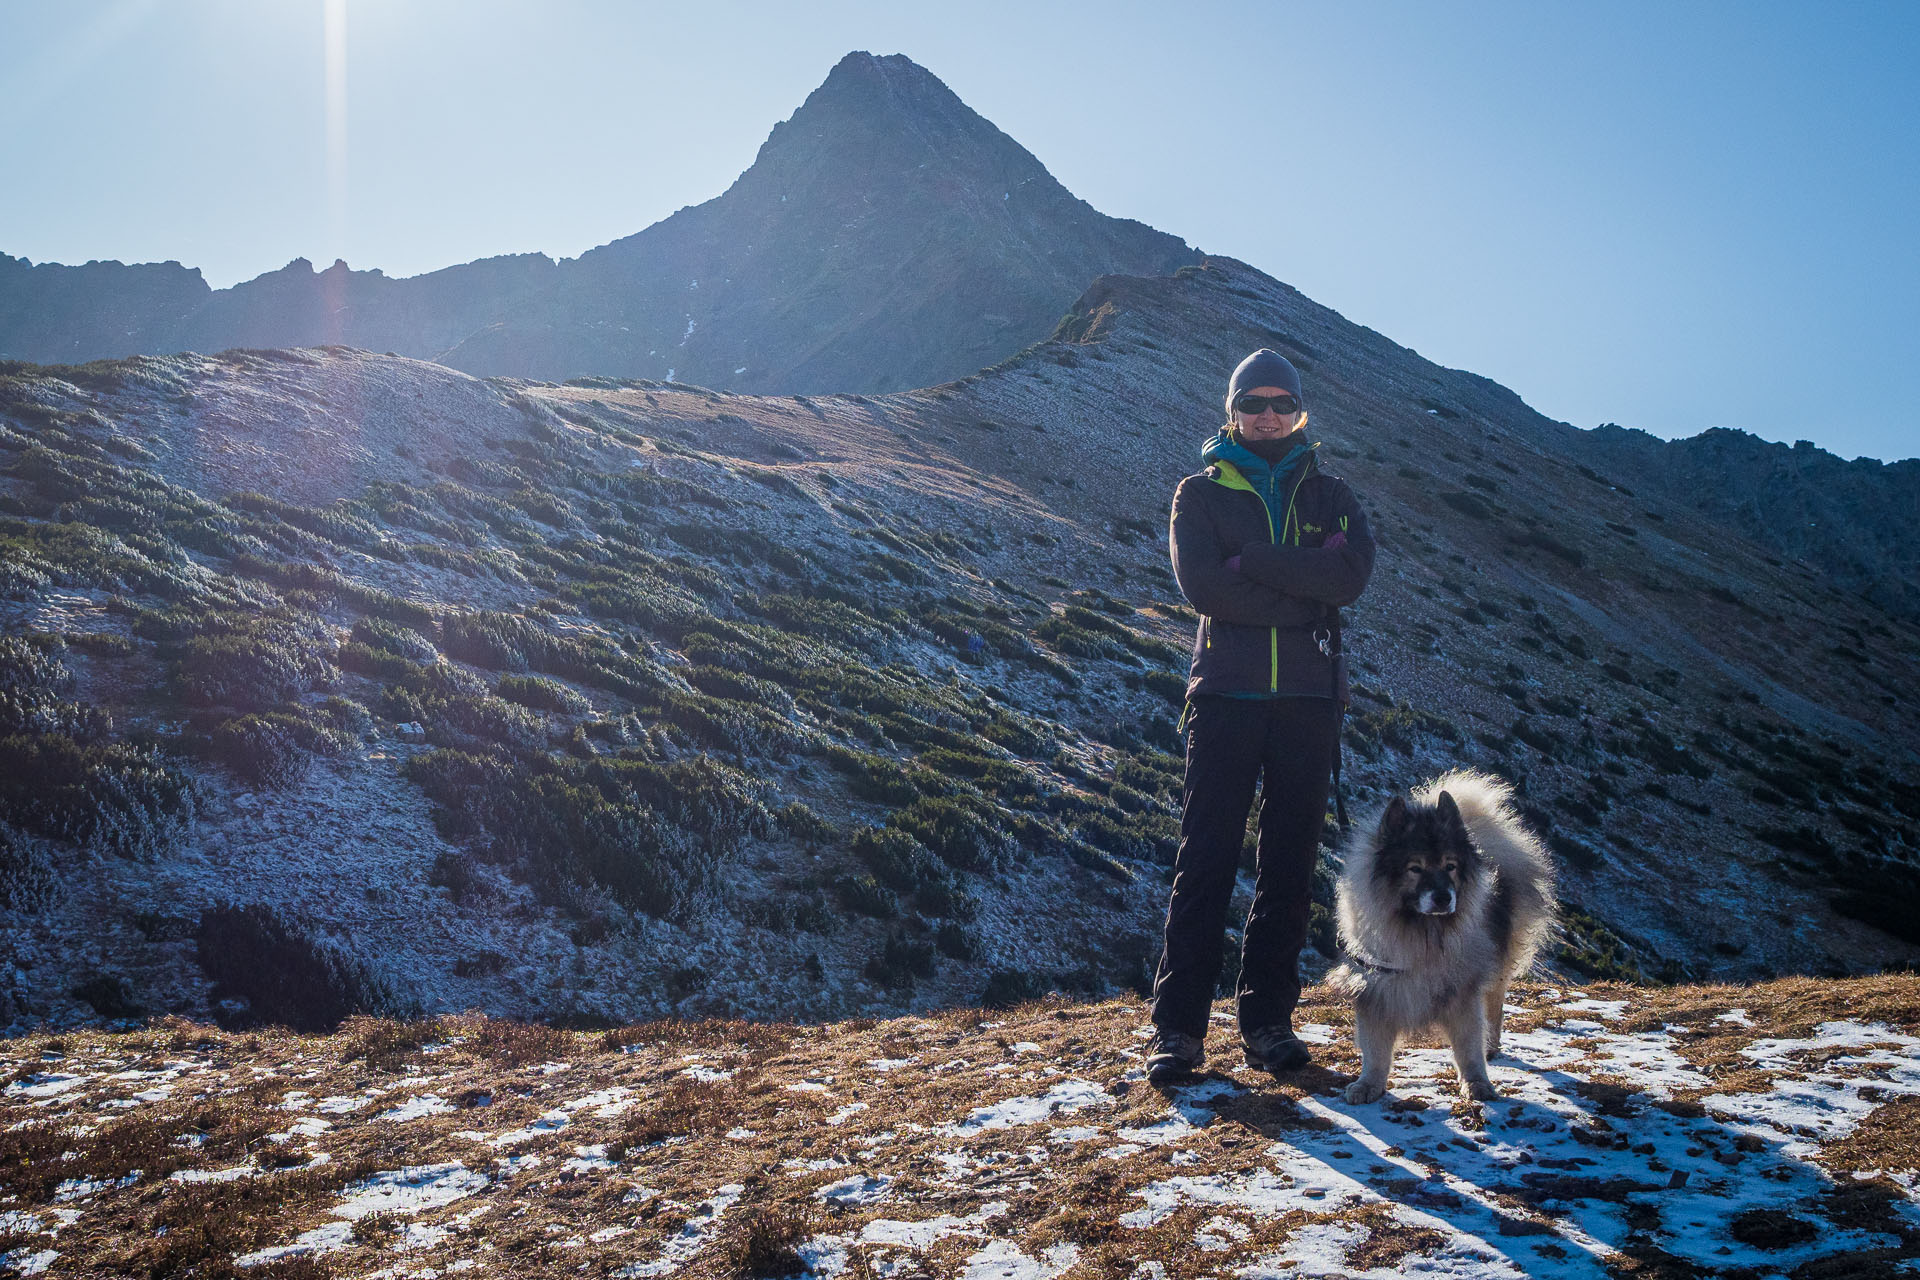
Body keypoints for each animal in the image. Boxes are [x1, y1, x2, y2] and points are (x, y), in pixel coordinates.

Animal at [1336, 771, 1559, 1105]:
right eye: (1415, 868)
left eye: (1450, 866)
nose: (1443, 897)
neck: (1422, 933)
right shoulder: (1375, 989)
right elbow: (1375, 1050)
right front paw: (1368, 1084)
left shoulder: (1464, 992)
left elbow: (1468, 1046)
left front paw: (1477, 1082)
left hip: (1498, 963)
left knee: (1494, 1005)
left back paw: (1491, 1045)